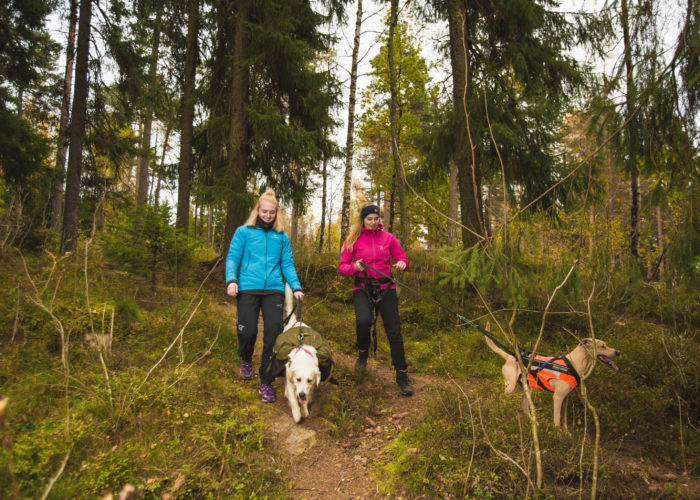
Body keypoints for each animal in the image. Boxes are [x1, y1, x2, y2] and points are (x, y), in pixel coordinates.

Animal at [486, 336, 616, 430]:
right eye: (603, 346)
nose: (618, 352)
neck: (575, 363)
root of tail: (510, 357)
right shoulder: (557, 397)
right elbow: (557, 420)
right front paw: (558, 436)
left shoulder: (565, 398)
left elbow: (564, 419)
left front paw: (566, 434)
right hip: (510, 387)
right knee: (501, 400)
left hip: (528, 388)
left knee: (524, 407)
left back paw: (535, 424)